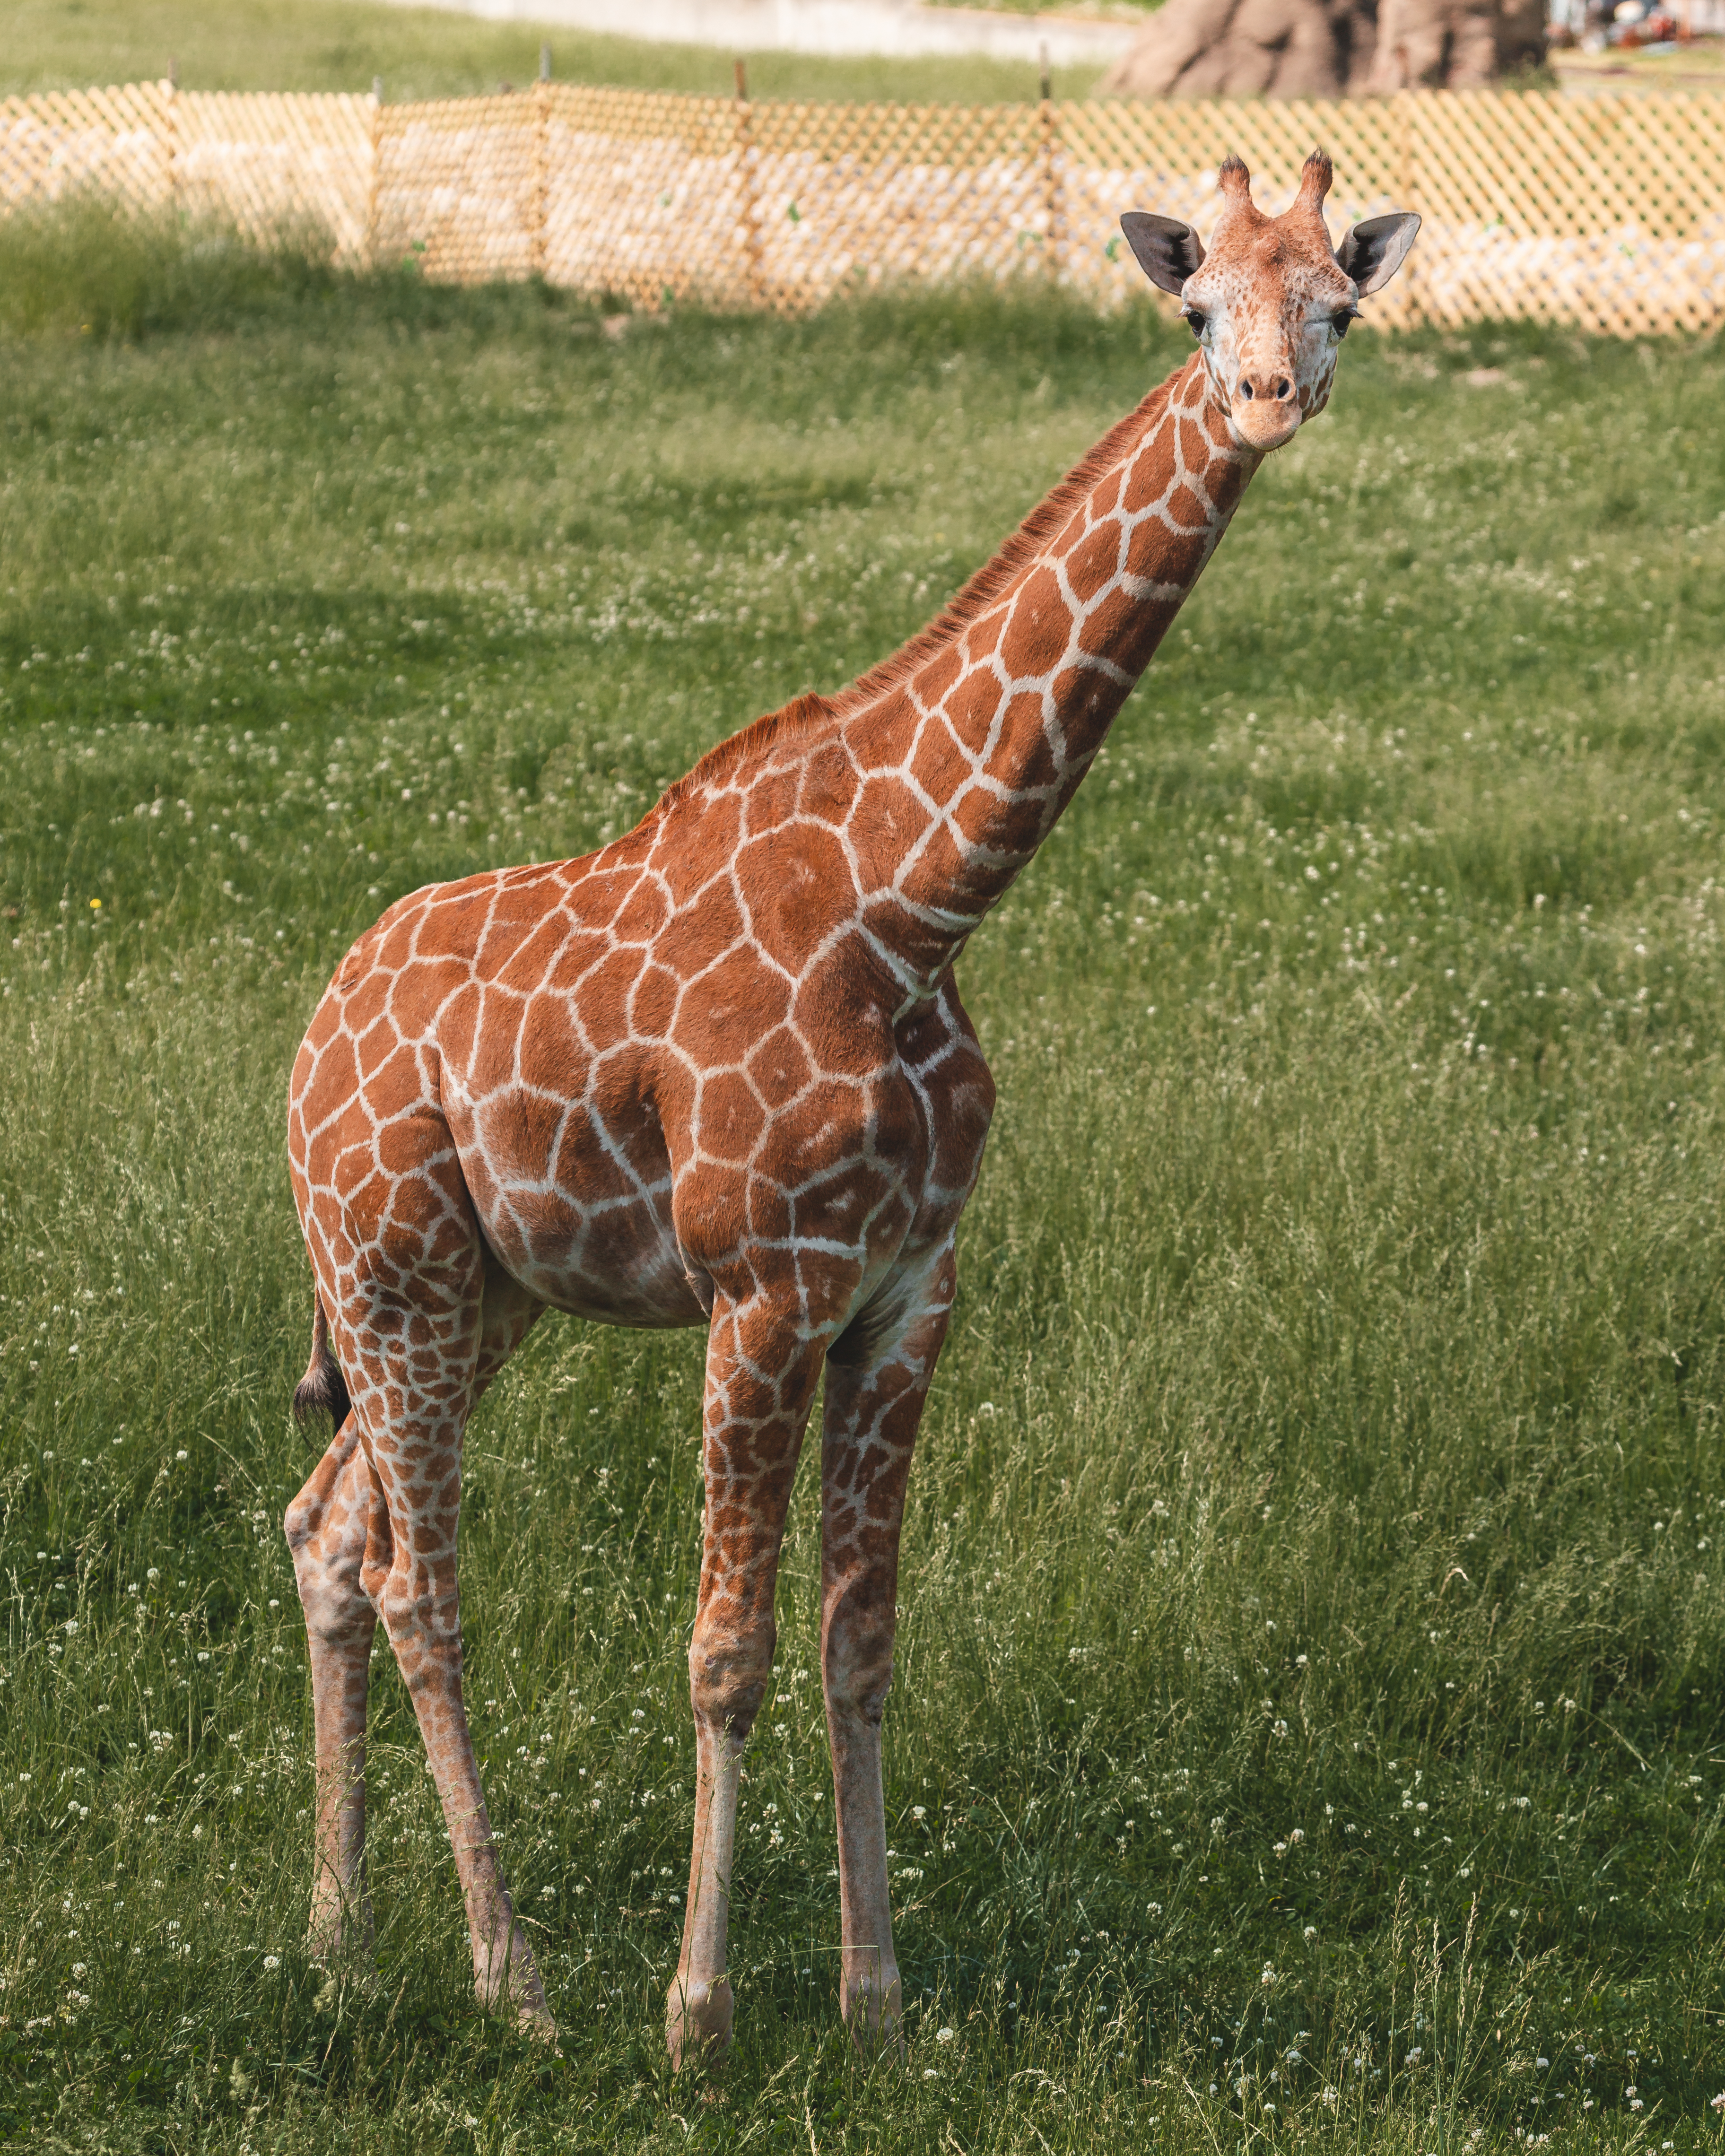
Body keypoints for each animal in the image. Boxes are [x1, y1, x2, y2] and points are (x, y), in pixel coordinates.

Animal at [282, 152, 1414, 2052]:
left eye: (1337, 297)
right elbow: (723, 1647)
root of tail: (306, 1041)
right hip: (387, 1262)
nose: (1267, 397)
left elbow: (857, 1633)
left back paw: (340, 1933)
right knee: (413, 1574)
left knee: (324, 1526)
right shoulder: (761, 1286)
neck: (913, 905)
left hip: (476, 1289)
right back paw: (513, 1980)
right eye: (1196, 304)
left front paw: (873, 1994)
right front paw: (697, 2010)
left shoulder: (907, 1288)